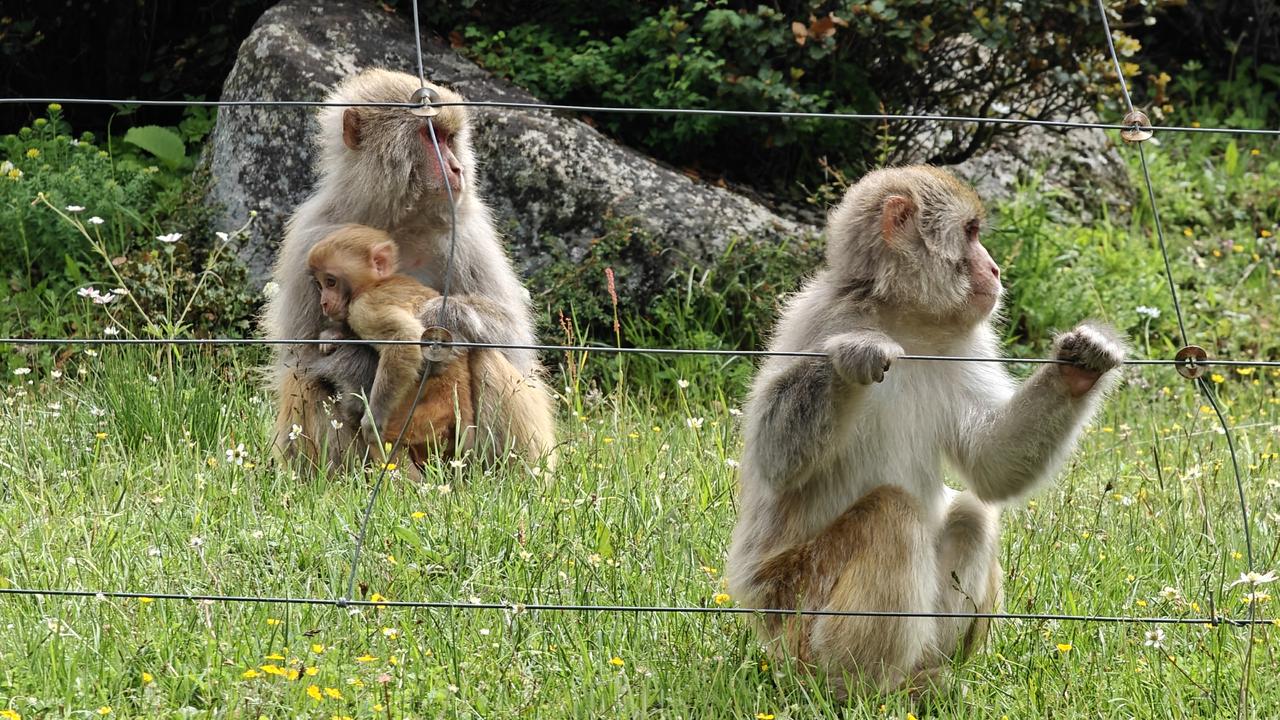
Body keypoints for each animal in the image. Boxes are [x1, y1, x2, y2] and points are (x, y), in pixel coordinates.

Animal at [305, 224, 476, 466]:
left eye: (331, 281)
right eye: (320, 285)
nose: (324, 303)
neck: (375, 283)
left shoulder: (363, 307)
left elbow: (404, 338)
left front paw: (373, 419)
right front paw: (332, 335)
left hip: (424, 417)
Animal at [727, 165, 1126, 691]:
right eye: (971, 233)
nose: (995, 270)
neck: (903, 317)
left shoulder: (964, 344)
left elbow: (990, 463)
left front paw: (1081, 364)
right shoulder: (821, 317)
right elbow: (774, 459)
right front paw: (853, 357)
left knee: (972, 515)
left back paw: (929, 677)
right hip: (794, 609)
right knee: (892, 516)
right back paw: (857, 691)